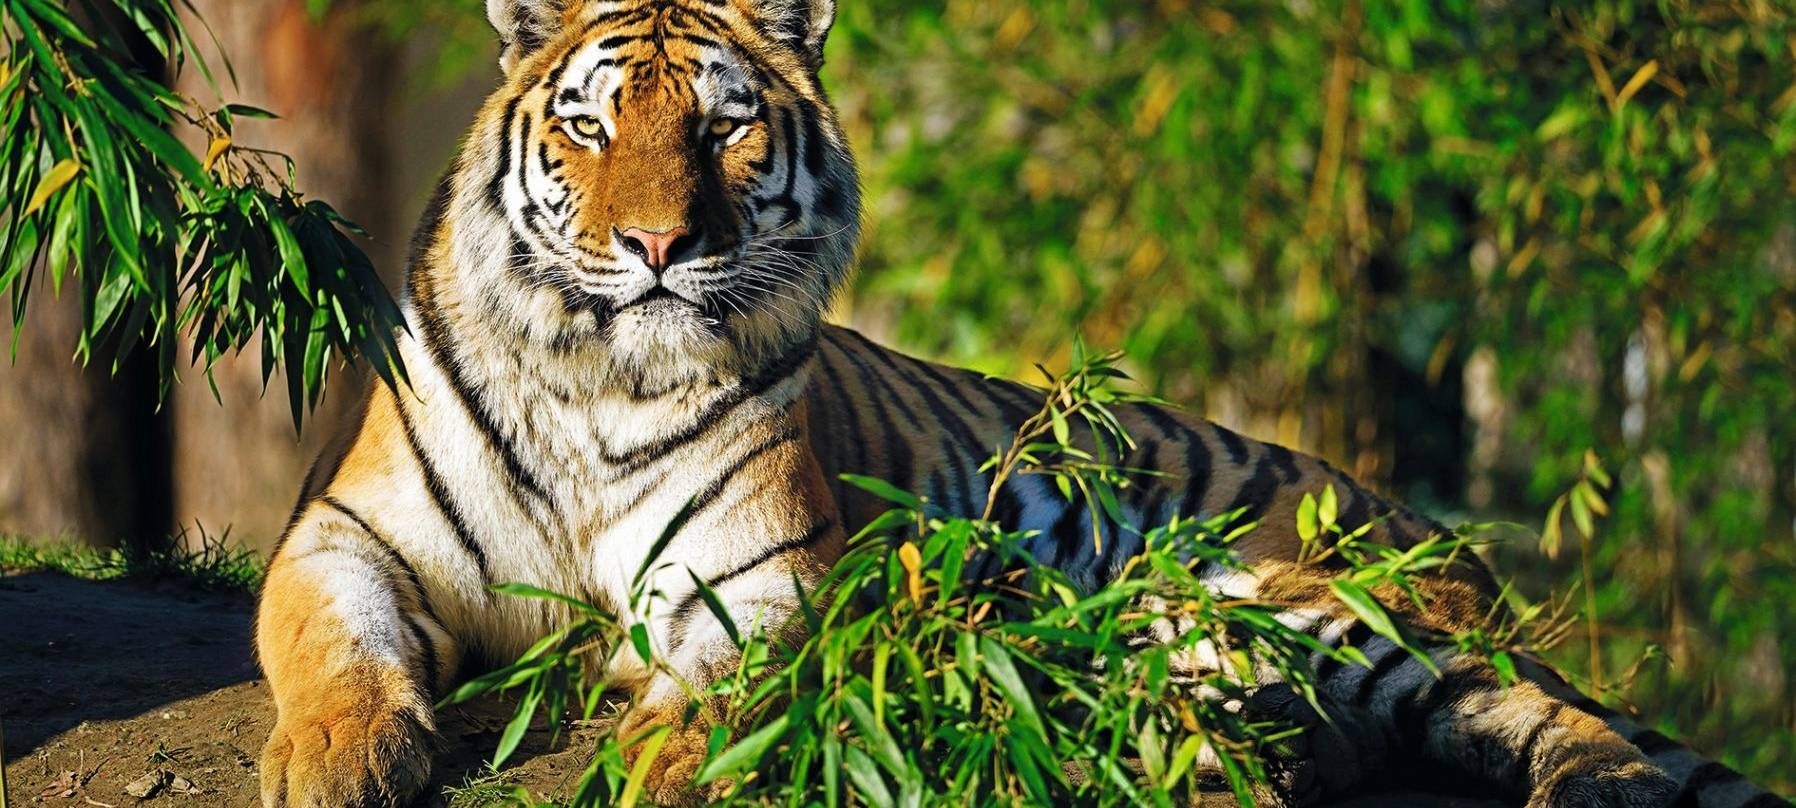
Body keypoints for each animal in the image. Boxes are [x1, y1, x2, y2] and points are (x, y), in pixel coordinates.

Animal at [252, 0, 1791, 806]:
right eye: (587, 125)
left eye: (726, 122)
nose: (656, 246)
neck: (598, 372)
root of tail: (1435, 533)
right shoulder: (345, 532)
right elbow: (331, 650)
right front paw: (335, 762)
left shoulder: (763, 586)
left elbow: (717, 699)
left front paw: (667, 756)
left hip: (1313, 601)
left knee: (1536, 712)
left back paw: (1594, 785)